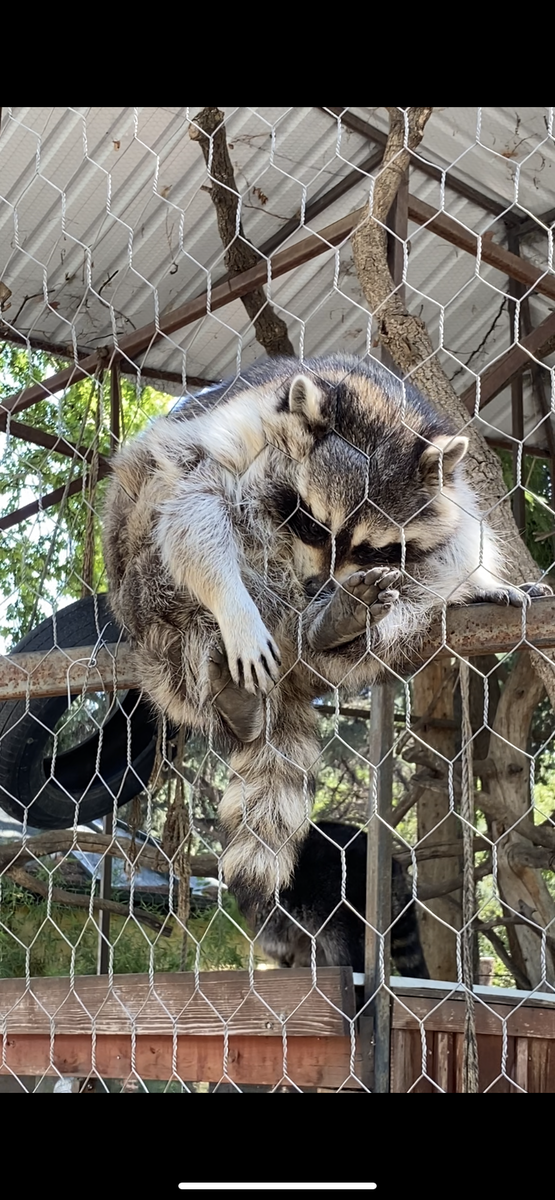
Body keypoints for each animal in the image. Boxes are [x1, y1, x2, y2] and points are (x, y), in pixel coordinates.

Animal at [102, 350, 542, 902]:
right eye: (311, 522)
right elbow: (193, 501)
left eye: (370, 548)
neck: (378, 411)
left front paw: (478, 582)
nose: (318, 586)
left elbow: (461, 541)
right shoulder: (236, 430)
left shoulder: (447, 495)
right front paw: (232, 605)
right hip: (138, 566)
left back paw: (338, 624)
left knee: (423, 581)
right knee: (195, 507)